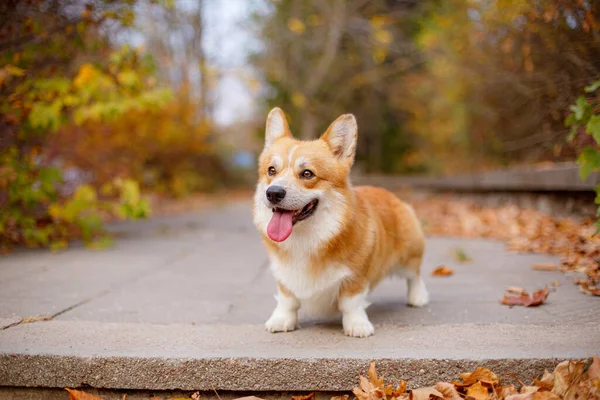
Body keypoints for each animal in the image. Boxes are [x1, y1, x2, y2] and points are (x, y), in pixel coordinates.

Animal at [251, 107, 428, 338]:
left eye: (307, 173)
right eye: (271, 170)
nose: (273, 193)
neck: (306, 237)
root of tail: (389, 194)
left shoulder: (356, 276)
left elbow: (351, 303)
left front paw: (357, 325)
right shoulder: (284, 275)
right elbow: (287, 300)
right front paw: (281, 319)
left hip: (409, 253)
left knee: (414, 275)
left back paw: (418, 297)